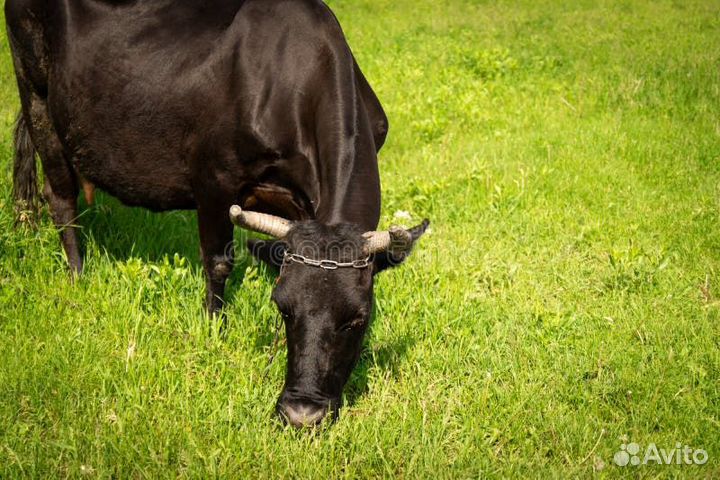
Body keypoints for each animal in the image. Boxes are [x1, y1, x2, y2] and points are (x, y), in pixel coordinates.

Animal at [6, 0, 429, 428]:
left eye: (358, 318)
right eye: (284, 308)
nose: (300, 414)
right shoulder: (213, 178)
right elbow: (219, 262)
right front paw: (214, 331)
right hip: (35, 92)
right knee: (60, 196)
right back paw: (77, 276)